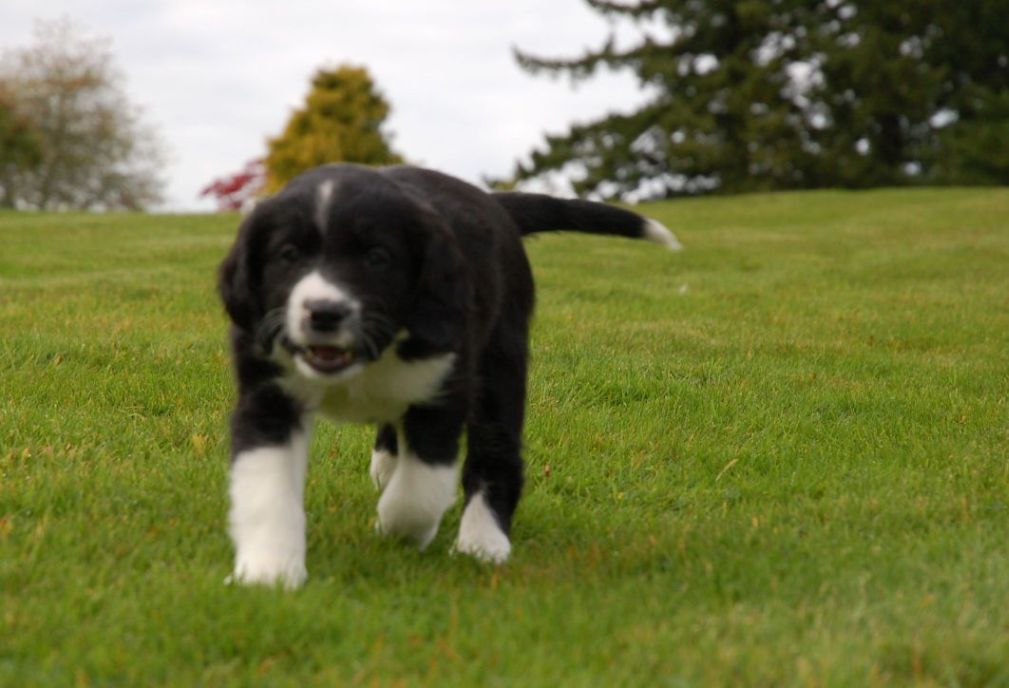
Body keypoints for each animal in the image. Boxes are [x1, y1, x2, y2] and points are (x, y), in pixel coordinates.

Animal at [218, 164, 681, 587]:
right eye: (288, 255)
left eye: (377, 258)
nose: (324, 312)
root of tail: (494, 203)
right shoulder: (269, 397)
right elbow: (266, 483)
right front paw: (269, 572)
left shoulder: (444, 391)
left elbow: (421, 487)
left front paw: (398, 528)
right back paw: (387, 464)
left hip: (501, 358)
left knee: (495, 451)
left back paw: (482, 542)